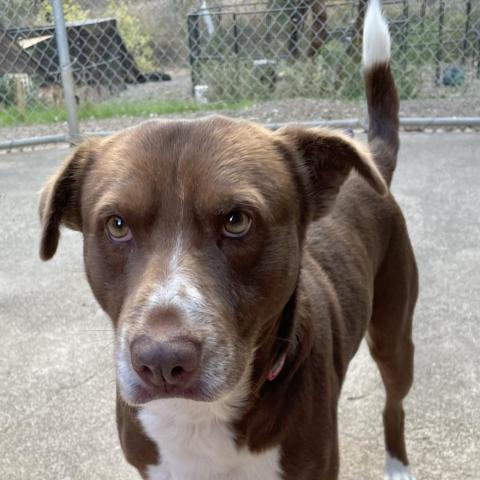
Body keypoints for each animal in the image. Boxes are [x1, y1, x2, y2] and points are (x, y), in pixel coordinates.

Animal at [39, 1, 418, 478]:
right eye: (117, 225)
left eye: (238, 221)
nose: (162, 360)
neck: (199, 419)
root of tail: (373, 162)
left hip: (394, 334)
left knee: (395, 399)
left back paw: (398, 463)